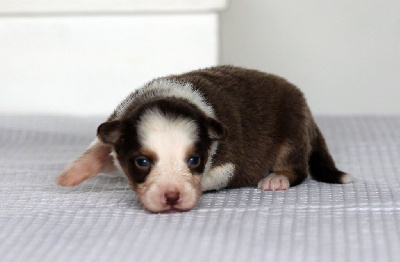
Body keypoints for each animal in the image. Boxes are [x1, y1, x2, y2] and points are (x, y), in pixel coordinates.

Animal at [57, 65, 352, 213]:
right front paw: (72, 173)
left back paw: (277, 179)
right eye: (142, 162)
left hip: (291, 133)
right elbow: (100, 148)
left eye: (194, 160)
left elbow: (212, 178)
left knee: (297, 169)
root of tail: (304, 103)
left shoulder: (230, 161)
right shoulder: (118, 125)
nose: (172, 196)